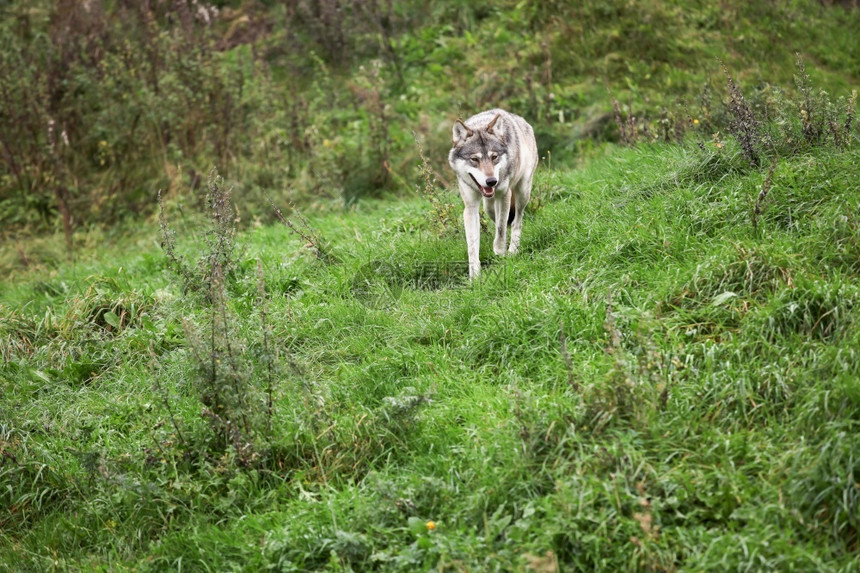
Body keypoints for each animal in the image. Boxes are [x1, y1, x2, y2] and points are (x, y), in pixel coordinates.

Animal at [450, 108, 536, 278]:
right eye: (474, 159)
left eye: (494, 157)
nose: (491, 181)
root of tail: (523, 121)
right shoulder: (470, 208)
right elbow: (472, 245)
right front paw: (475, 277)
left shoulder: (504, 195)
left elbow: (501, 229)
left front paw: (500, 251)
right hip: (488, 206)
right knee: (497, 216)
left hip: (522, 192)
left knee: (516, 222)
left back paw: (513, 250)